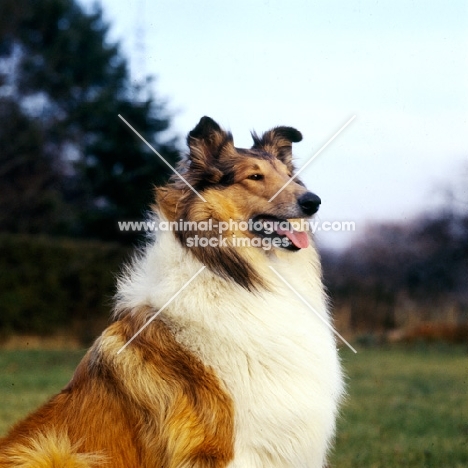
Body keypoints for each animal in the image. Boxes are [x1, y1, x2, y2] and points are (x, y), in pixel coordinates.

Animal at [0, 117, 344, 468]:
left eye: (288, 176)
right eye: (254, 176)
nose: (312, 202)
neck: (236, 274)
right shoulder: (223, 446)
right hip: (53, 449)